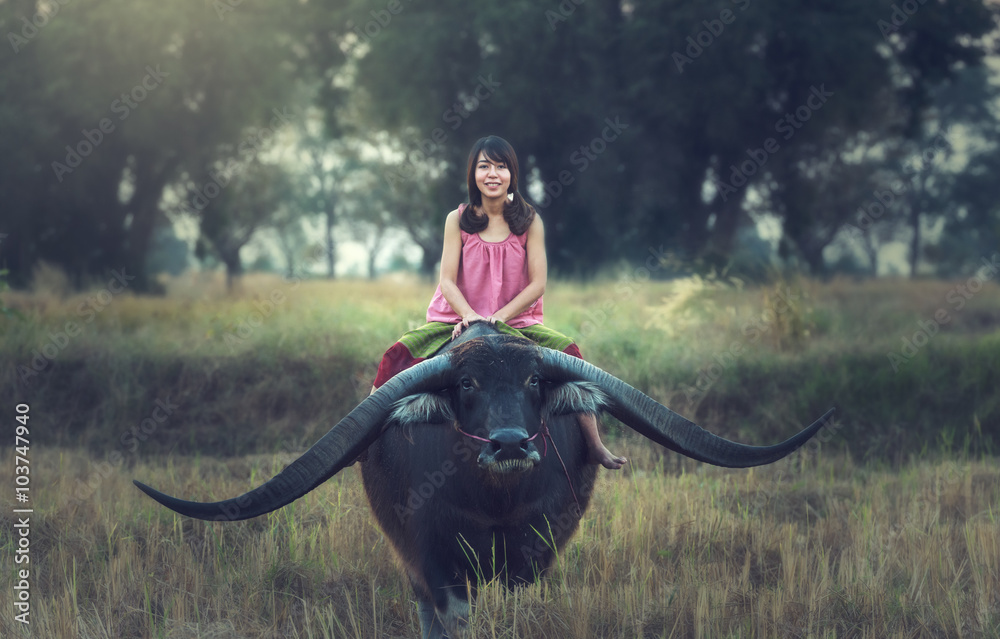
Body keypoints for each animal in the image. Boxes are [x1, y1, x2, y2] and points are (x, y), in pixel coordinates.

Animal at [135, 324, 836, 639]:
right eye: (467, 384)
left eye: (532, 381)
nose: (509, 443)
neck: (496, 502)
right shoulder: (434, 559)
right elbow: (455, 618)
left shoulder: (537, 552)